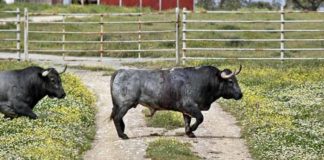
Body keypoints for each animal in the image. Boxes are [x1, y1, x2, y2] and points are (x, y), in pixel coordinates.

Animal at [110, 65, 242, 139]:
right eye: (230, 81)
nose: (240, 95)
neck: (205, 81)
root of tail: (121, 71)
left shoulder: (186, 110)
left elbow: (187, 121)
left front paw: (189, 133)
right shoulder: (190, 106)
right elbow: (200, 118)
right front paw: (192, 129)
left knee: (119, 119)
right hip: (124, 105)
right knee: (117, 118)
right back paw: (122, 135)